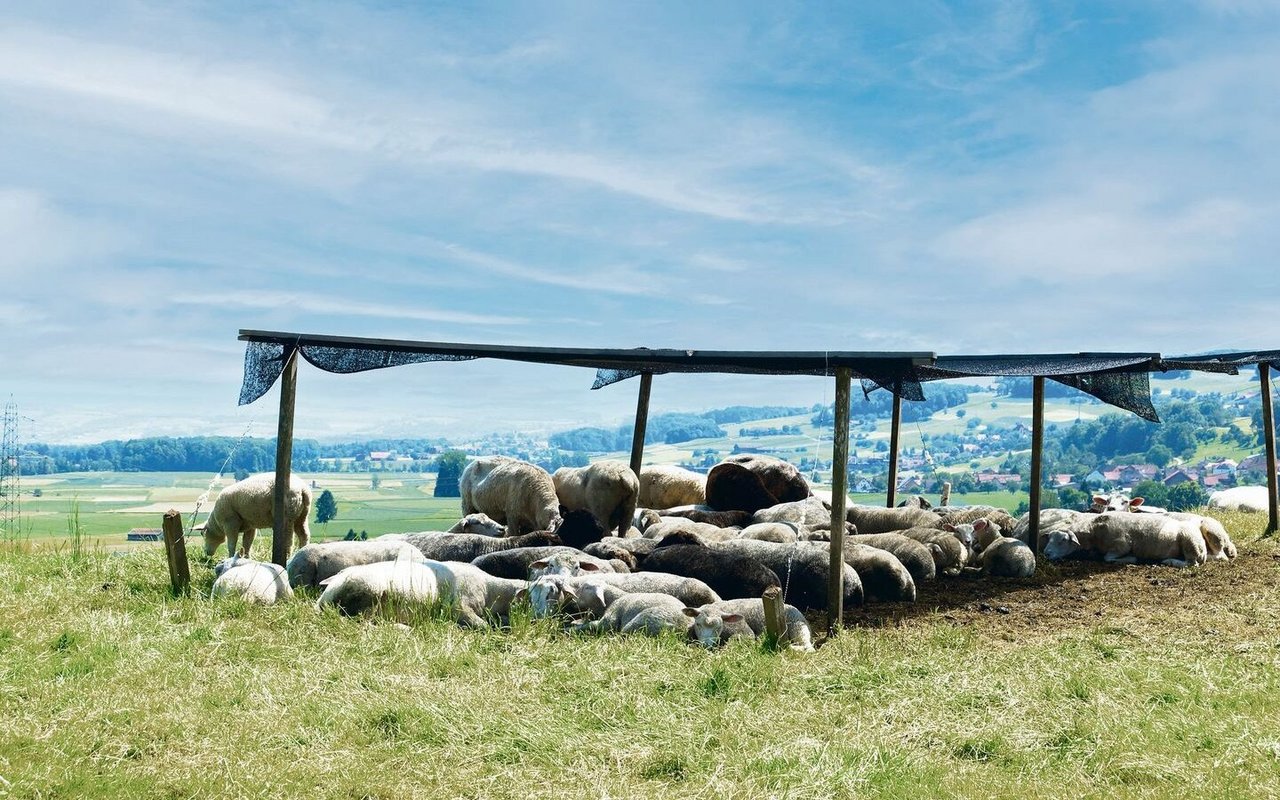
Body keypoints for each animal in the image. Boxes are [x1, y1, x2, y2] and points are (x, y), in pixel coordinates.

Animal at [686, 596, 814, 652]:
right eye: (698, 624)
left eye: (719, 628)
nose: (706, 645)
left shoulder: (745, 631)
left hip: (799, 627)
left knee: (808, 647)